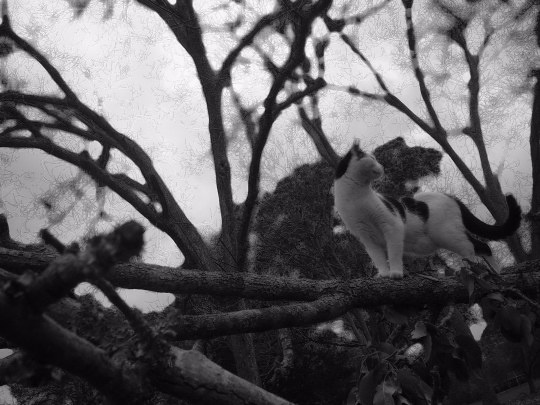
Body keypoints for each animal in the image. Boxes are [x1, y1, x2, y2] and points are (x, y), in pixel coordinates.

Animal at [333, 141, 522, 279]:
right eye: (372, 159)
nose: (382, 167)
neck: (355, 199)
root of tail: (451, 196)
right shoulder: (366, 238)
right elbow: (378, 258)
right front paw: (384, 275)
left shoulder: (392, 226)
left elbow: (393, 253)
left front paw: (396, 273)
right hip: (449, 236)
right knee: (482, 246)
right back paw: (497, 272)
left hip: (448, 235)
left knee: (474, 249)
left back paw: (477, 269)